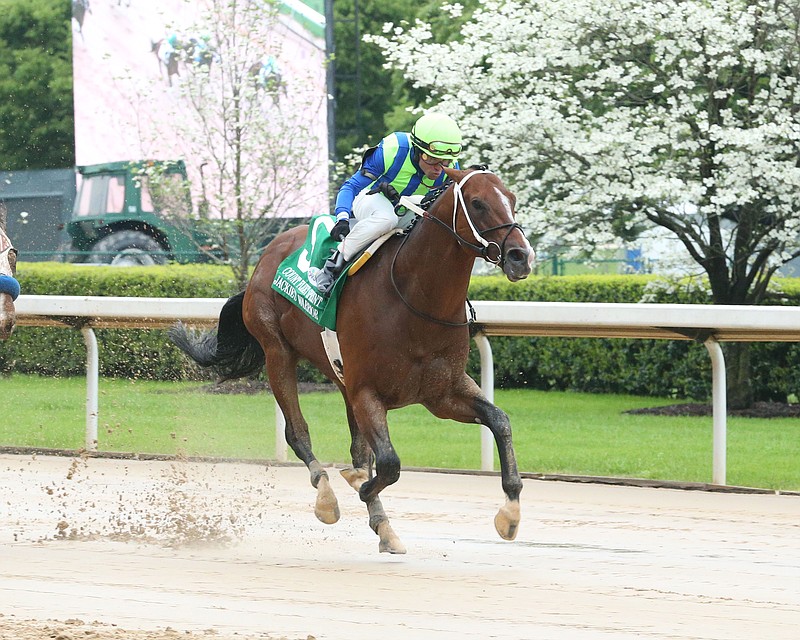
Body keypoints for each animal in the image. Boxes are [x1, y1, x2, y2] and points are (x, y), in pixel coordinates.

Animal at [174, 168, 536, 552]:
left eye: (512, 198)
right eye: (478, 203)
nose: (520, 256)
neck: (415, 299)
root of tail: (269, 251)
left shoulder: (442, 393)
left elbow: (499, 421)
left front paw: (510, 513)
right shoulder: (367, 392)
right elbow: (389, 463)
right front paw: (359, 487)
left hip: (340, 375)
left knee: (358, 447)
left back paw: (381, 522)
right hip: (277, 351)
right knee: (297, 432)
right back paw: (327, 498)